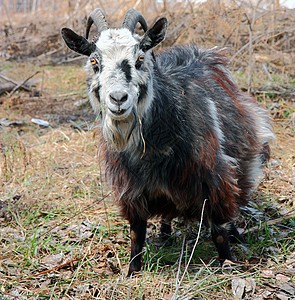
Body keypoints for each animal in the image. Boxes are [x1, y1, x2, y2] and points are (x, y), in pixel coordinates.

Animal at [61, 8, 276, 276]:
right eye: (94, 62)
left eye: (140, 58)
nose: (118, 99)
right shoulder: (131, 189)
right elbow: (137, 234)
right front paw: (132, 271)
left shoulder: (213, 178)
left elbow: (218, 231)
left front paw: (228, 263)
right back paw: (165, 233)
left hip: (244, 159)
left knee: (235, 199)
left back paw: (235, 233)